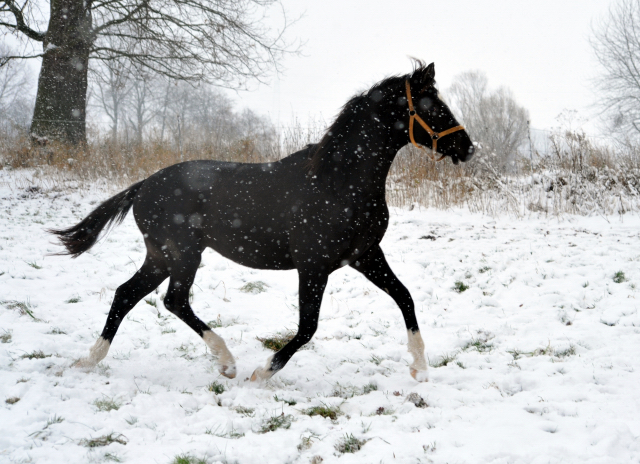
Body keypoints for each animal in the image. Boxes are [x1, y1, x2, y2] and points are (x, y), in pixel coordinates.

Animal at [51, 60, 476, 380]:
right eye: (432, 106)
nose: (469, 147)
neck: (338, 182)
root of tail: (143, 186)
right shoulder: (313, 266)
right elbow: (308, 327)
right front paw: (264, 373)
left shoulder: (365, 255)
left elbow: (405, 297)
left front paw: (420, 369)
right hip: (182, 254)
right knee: (173, 300)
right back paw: (227, 363)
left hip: (161, 256)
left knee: (127, 294)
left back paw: (89, 360)